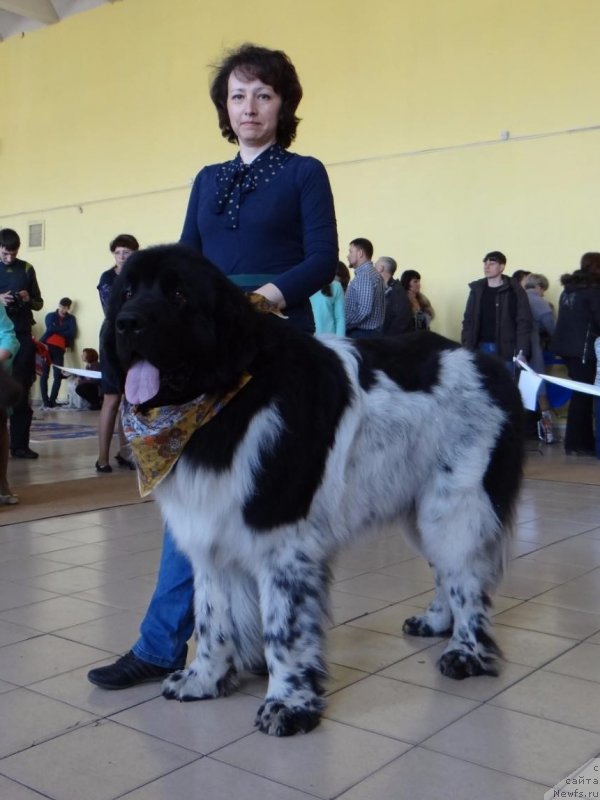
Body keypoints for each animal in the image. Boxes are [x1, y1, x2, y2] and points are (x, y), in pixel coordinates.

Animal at [104, 244, 524, 736]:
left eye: (178, 294)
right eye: (126, 292)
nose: (126, 323)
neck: (224, 399)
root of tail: (491, 365)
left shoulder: (283, 541)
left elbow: (282, 629)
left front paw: (288, 704)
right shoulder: (209, 529)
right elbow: (212, 616)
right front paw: (203, 679)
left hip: (457, 503)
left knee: (468, 579)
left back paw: (467, 652)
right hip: (421, 508)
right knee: (448, 570)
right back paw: (437, 621)